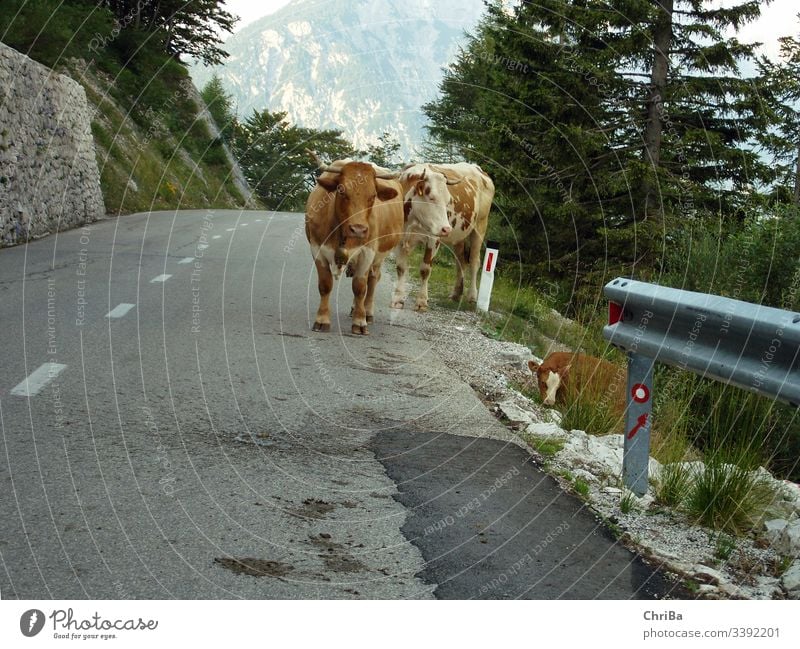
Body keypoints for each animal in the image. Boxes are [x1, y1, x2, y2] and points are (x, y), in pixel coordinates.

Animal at [306, 151, 406, 334]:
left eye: (373, 196)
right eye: (341, 190)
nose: (358, 229)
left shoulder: (368, 253)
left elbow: (360, 287)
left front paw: (360, 322)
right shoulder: (317, 249)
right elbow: (325, 285)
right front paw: (322, 319)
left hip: (379, 257)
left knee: (372, 280)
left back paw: (367, 312)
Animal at [392, 161, 496, 310]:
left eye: (448, 201)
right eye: (431, 198)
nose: (446, 229)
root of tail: (479, 169)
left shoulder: (433, 239)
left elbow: (425, 269)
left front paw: (422, 301)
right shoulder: (400, 238)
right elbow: (400, 268)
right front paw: (398, 299)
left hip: (480, 227)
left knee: (474, 262)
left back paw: (472, 296)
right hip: (458, 237)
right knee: (461, 262)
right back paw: (456, 294)